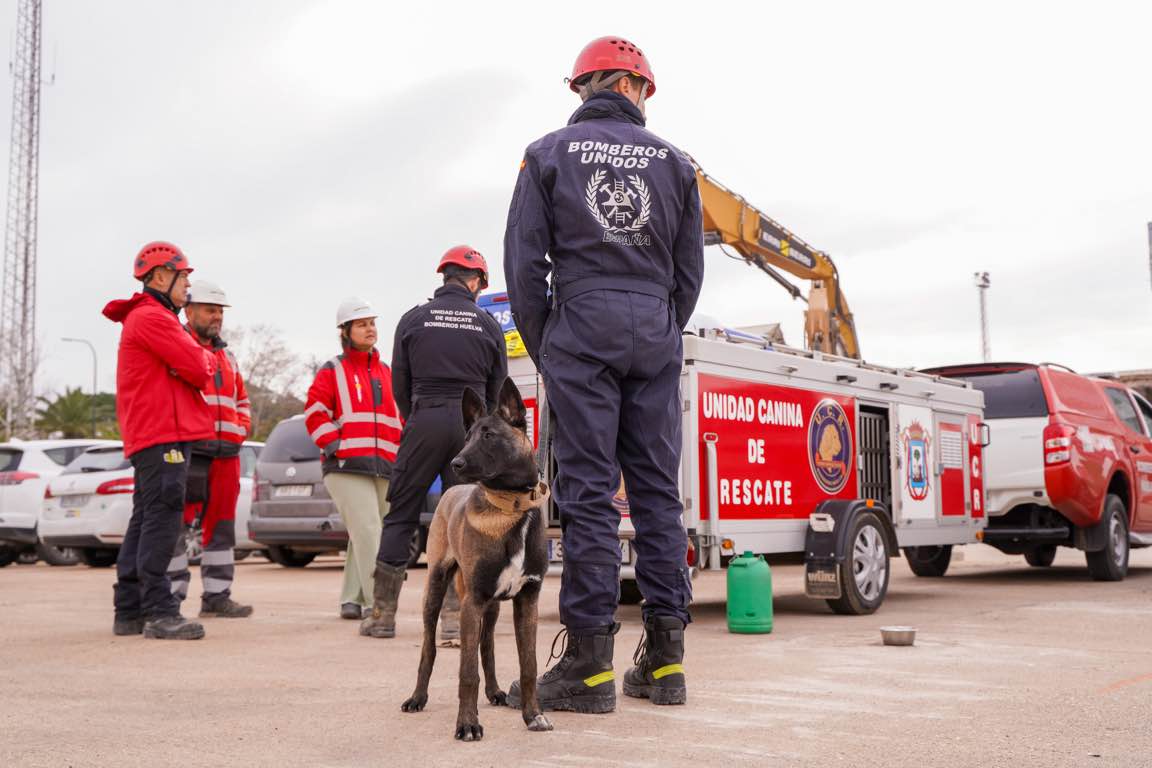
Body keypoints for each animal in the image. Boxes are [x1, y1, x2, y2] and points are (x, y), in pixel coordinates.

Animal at [400, 382, 552, 741]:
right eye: (467, 435)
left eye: (489, 435)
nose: (456, 462)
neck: (511, 509)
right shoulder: (472, 603)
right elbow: (466, 671)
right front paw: (467, 724)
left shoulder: (527, 601)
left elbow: (529, 665)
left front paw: (533, 715)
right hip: (436, 589)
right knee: (429, 648)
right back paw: (417, 697)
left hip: (492, 607)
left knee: (487, 646)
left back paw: (495, 691)